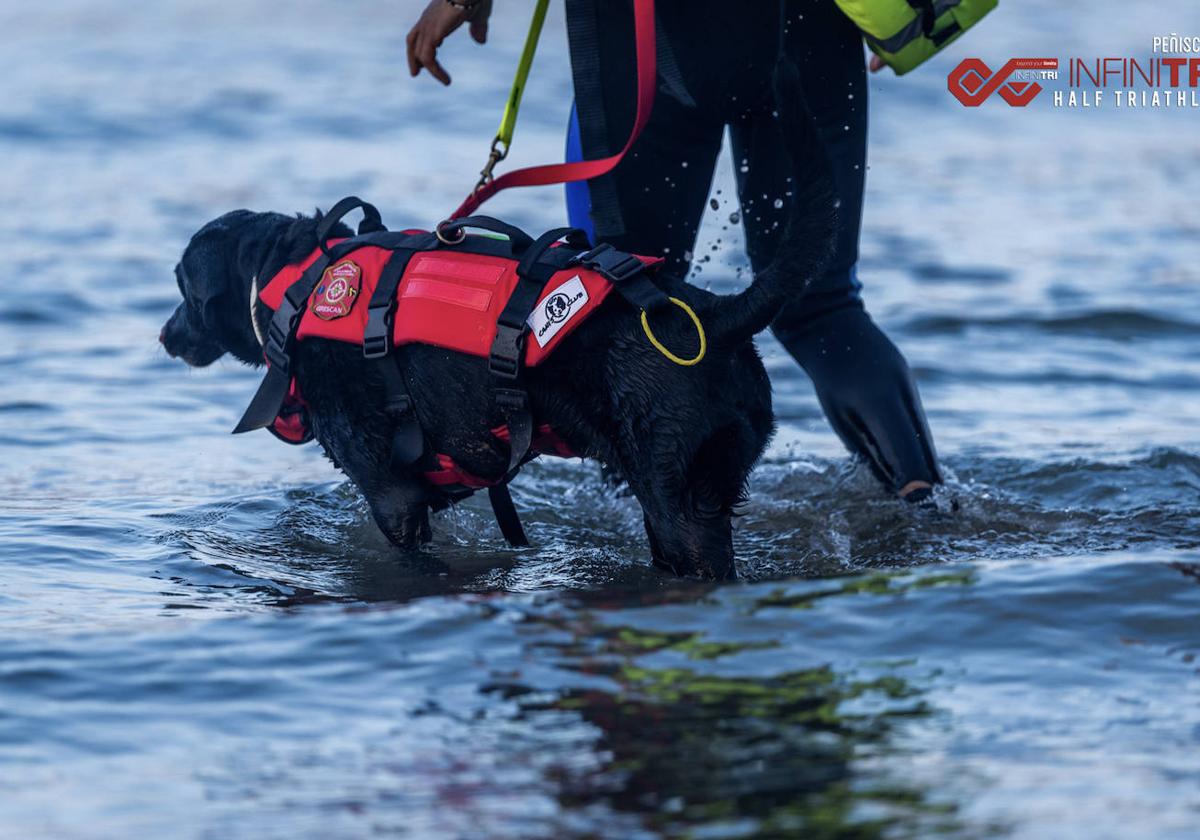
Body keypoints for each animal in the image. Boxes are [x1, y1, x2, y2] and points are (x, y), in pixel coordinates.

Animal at [162, 67, 835, 578]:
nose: (164, 335)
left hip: (678, 502)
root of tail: (717, 314)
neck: (297, 278)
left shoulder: (391, 495)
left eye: (182, 289)